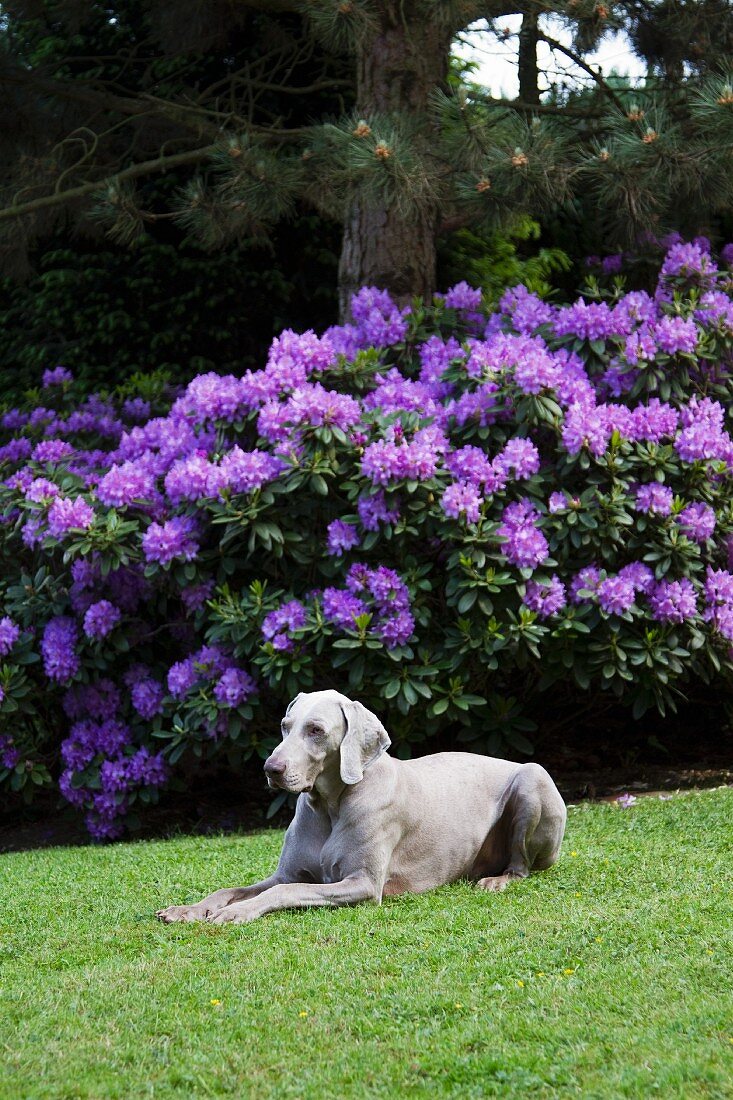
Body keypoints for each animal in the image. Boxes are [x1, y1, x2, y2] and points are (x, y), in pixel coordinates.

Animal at [155, 690, 563, 924]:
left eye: (316, 730)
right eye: (285, 725)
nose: (271, 769)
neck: (329, 806)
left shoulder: (361, 884)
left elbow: (282, 892)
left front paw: (236, 912)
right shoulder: (287, 873)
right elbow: (232, 888)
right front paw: (190, 909)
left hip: (534, 779)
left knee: (522, 866)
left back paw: (499, 879)